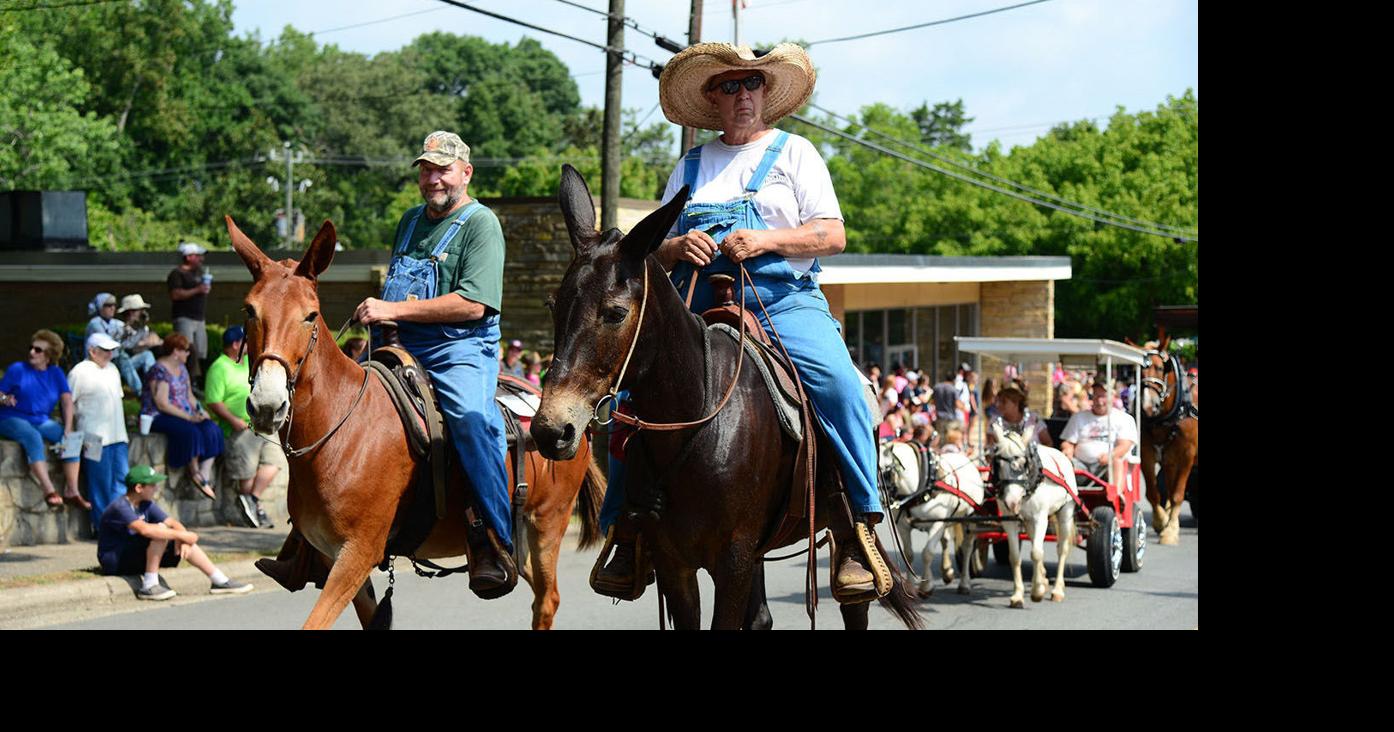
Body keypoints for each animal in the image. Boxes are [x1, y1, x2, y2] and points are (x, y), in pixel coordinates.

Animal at [224, 216, 604, 627]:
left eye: (309, 315)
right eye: (249, 310)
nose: (267, 403)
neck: (341, 432)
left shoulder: (357, 553)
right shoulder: (334, 556)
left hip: (547, 524)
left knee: (547, 601)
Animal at [526, 165, 920, 627]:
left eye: (616, 313)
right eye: (553, 307)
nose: (552, 430)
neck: (697, 415)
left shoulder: (732, 559)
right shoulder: (675, 562)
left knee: (853, 596)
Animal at [875, 440, 986, 593]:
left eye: (884, 472)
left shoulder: (937, 524)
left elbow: (927, 553)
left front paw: (926, 586)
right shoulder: (903, 526)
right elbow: (908, 554)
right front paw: (911, 586)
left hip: (969, 519)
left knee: (967, 547)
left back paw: (964, 583)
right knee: (945, 541)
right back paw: (947, 572)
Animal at [992, 421, 1076, 605]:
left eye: (1024, 463)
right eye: (998, 464)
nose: (1012, 502)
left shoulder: (1040, 518)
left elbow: (1036, 553)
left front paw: (1037, 592)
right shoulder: (1009, 521)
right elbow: (1015, 556)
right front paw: (1018, 595)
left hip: (1066, 512)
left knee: (1062, 549)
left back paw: (1057, 589)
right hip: (1029, 521)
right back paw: (1043, 578)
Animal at [1131, 333, 1198, 543]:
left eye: (1160, 368)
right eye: (1138, 370)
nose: (1146, 405)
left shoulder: (1187, 455)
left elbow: (1178, 493)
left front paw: (1170, 531)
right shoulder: (1147, 452)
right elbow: (1153, 492)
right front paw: (1162, 522)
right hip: (1169, 458)